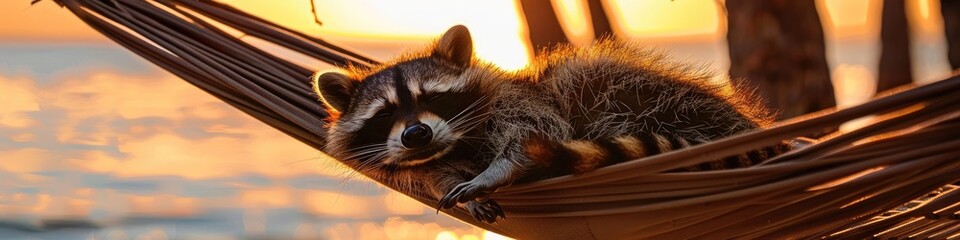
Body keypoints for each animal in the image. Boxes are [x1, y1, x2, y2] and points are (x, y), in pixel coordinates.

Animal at [316, 25, 788, 224]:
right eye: (385, 114)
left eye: (432, 97)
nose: (417, 134)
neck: (460, 140)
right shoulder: (433, 157)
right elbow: (437, 175)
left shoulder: (521, 101)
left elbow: (535, 128)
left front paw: (503, 167)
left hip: (653, 95)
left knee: (583, 76)